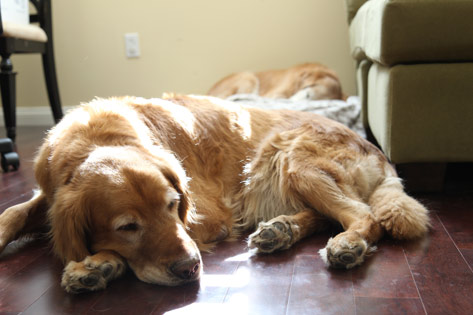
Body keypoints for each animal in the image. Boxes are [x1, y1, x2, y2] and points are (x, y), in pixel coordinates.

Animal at [0, 94, 428, 294]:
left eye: (173, 207)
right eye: (127, 227)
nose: (190, 269)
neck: (95, 139)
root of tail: (376, 149)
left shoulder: (207, 216)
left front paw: (97, 264)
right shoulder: (50, 192)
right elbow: (14, 213)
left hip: (290, 157)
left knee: (362, 215)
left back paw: (347, 245)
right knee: (326, 215)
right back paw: (280, 230)